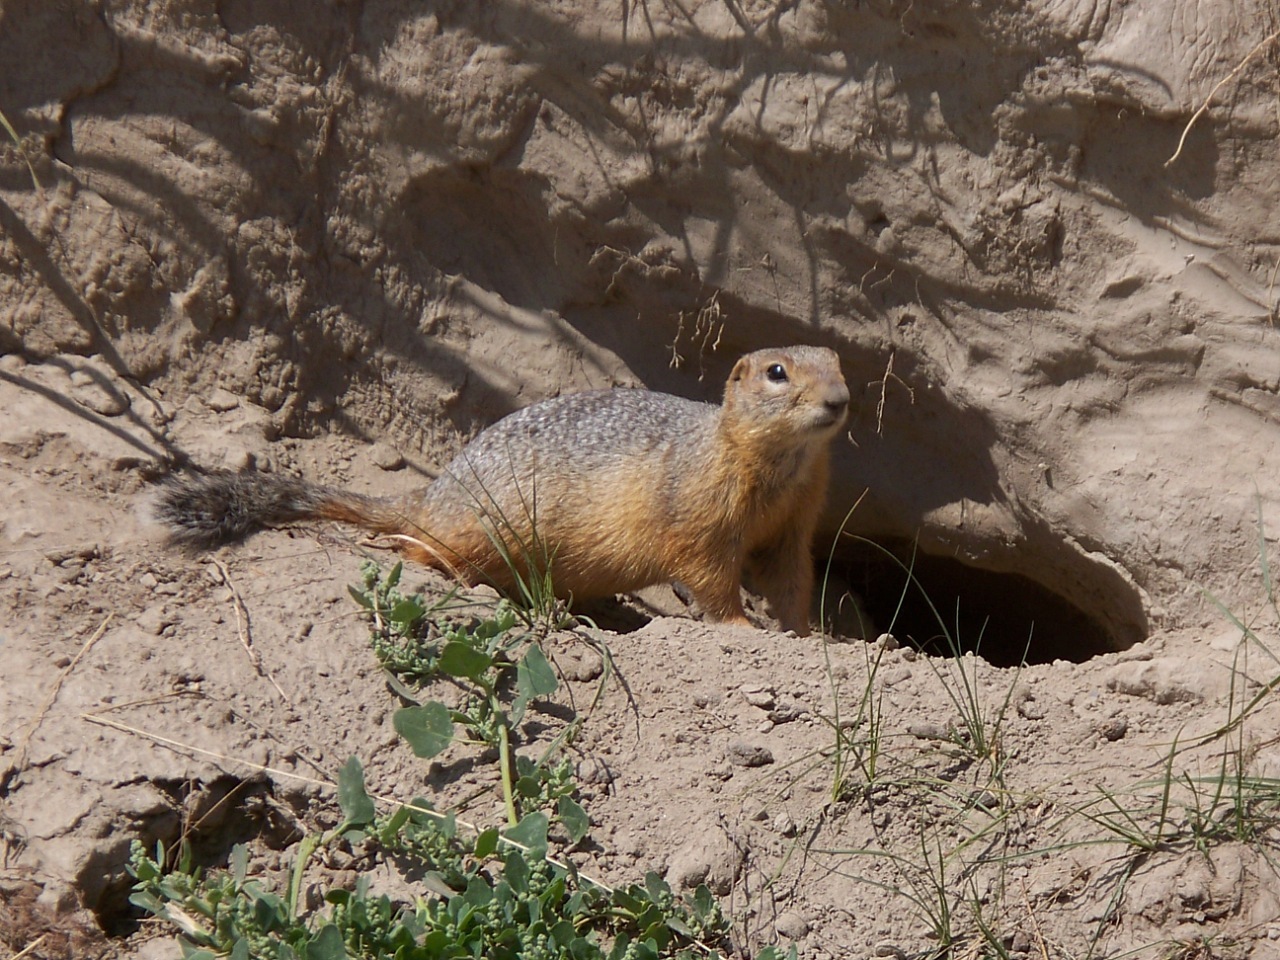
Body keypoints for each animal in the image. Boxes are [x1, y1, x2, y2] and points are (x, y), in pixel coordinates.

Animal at [157, 348, 849, 640]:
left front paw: (806, 632)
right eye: (777, 372)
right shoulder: (703, 507)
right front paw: (741, 625)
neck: (781, 466)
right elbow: (709, 571)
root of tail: (429, 496)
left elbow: (791, 576)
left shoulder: (796, 519)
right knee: (418, 548)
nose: (842, 398)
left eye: (841, 362)